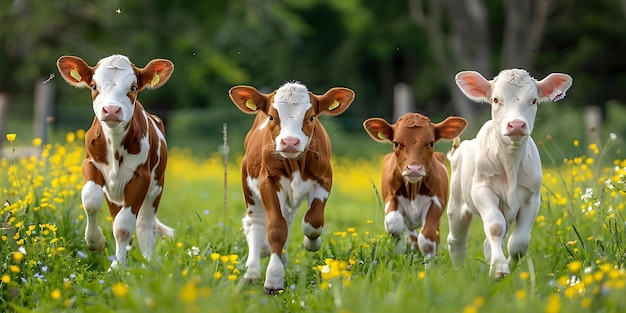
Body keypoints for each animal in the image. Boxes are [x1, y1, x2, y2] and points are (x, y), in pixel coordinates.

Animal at [56, 54, 174, 268]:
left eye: (133, 87)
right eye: (94, 85)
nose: (111, 110)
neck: (115, 143)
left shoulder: (140, 178)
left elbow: (124, 227)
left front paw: (117, 268)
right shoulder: (90, 164)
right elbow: (90, 199)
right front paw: (95, 241)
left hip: (155, 187)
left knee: (146, 224)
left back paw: (146, 264)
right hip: (115, 195)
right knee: (117, 216)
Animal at [228, 81, 356, 294]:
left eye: (311, 117)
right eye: (272, 116)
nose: (289, 142)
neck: (295, 163)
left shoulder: (324, 179)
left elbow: (313, 222)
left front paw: (311, 243)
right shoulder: (268, 182)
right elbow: (276, 228)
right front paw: (273, 279)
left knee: (287, 219)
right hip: (250, 189)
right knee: (256, 223)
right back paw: (252, 272)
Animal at [360, 113, 464, 262]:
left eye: (431, 143)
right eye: (396, 143)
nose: (414, 168)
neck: (413, 189)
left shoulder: (436, 202)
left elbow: (427, 238)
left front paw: (429, 265)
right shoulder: (391, 197)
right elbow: (394, 224)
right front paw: (398, 253)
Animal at [444, 69, 572, 278]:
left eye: (534, 100)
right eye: (496, 100)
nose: (517, 124)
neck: (510, 163)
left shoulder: (531, 199)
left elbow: (519, 243)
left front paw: (506, 267)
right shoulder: (482, 191)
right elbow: (495, 227)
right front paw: (499, 268)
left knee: (488, 243)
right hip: (456, 203)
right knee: (456, 240)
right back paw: (459, 272)